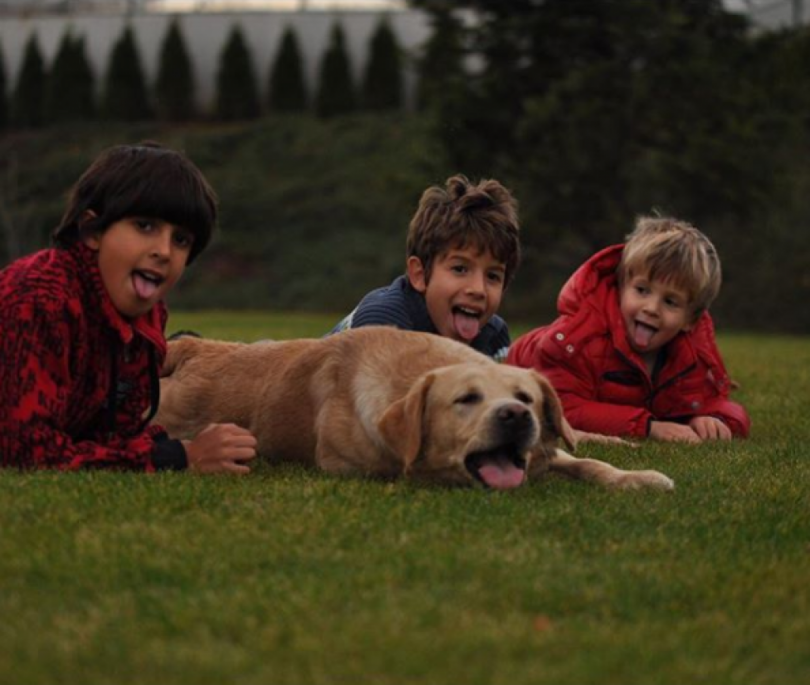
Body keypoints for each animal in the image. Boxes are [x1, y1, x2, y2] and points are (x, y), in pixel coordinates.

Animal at [155, 324, 672, 488]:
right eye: (466, 399)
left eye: (525, 398)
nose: (516, 416)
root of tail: (195, 347)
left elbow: (589, 462)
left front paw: (640, 477)